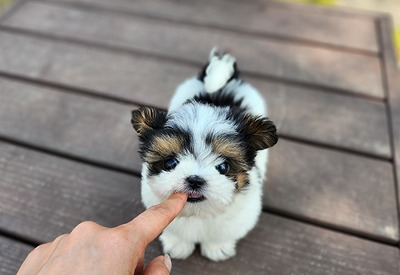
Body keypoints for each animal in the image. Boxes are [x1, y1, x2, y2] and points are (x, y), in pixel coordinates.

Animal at [131, 49, 278, 264]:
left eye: (223, 167)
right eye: (170, 162)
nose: (194, 180)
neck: (199, 213)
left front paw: (217, 247)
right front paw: (178, 243)